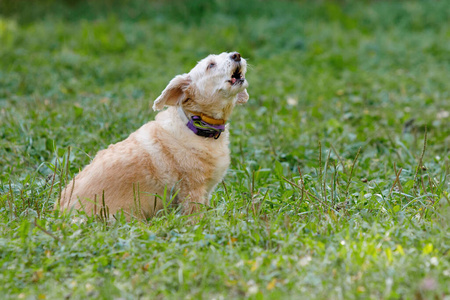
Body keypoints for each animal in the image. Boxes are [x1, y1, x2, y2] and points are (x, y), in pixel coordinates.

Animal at [56, 51, 250, 219]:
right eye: (211, 65)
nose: (237, 55)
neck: (195, 125)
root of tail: (60, 215)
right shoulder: (191, 192)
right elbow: (195, 219)